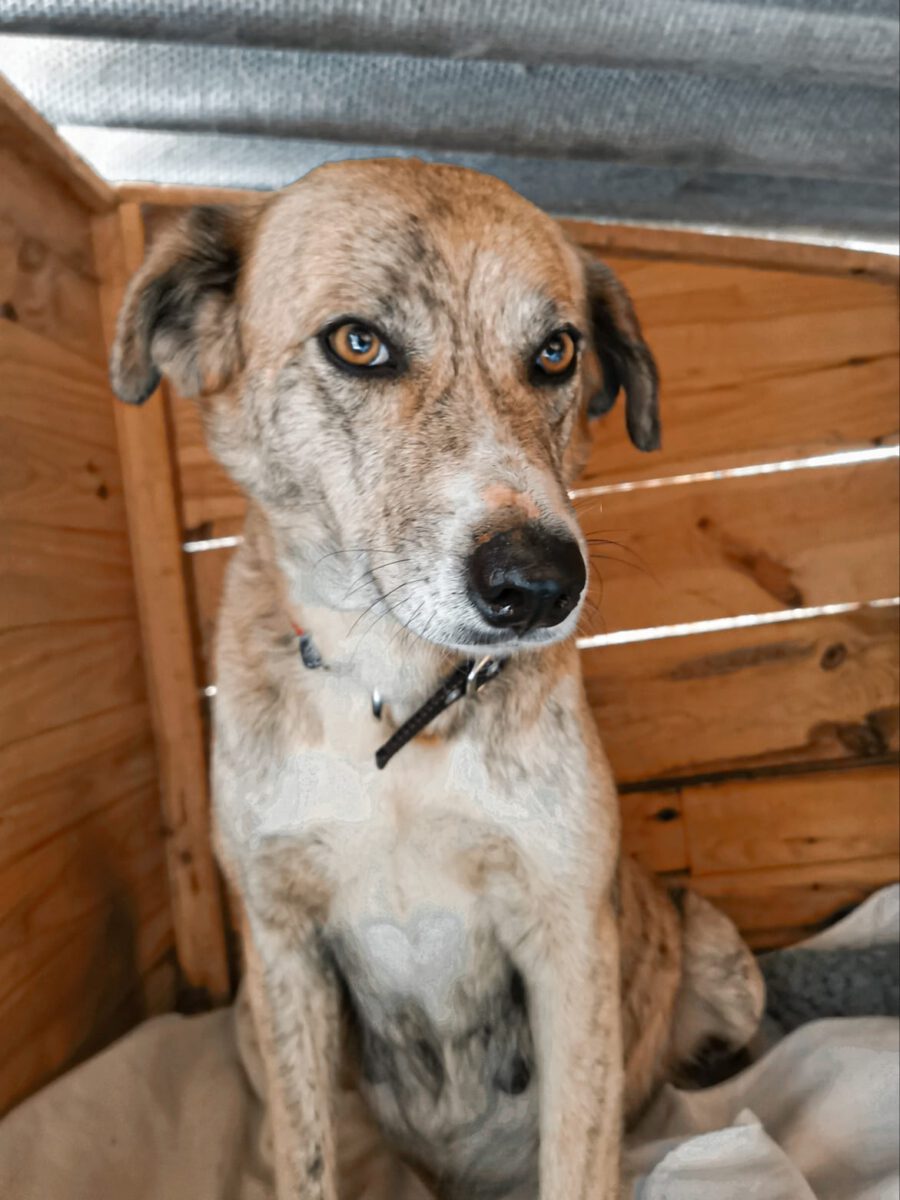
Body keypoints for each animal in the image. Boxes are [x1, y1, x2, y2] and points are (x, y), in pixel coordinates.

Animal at [111, 160, 763, 1199]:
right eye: (359, 342)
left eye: (555, 352)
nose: (540, 584)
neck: (394, 697)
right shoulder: (282, 946)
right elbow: (302, 1158)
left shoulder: (568, 936)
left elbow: (579, 1156)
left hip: (719, 951)